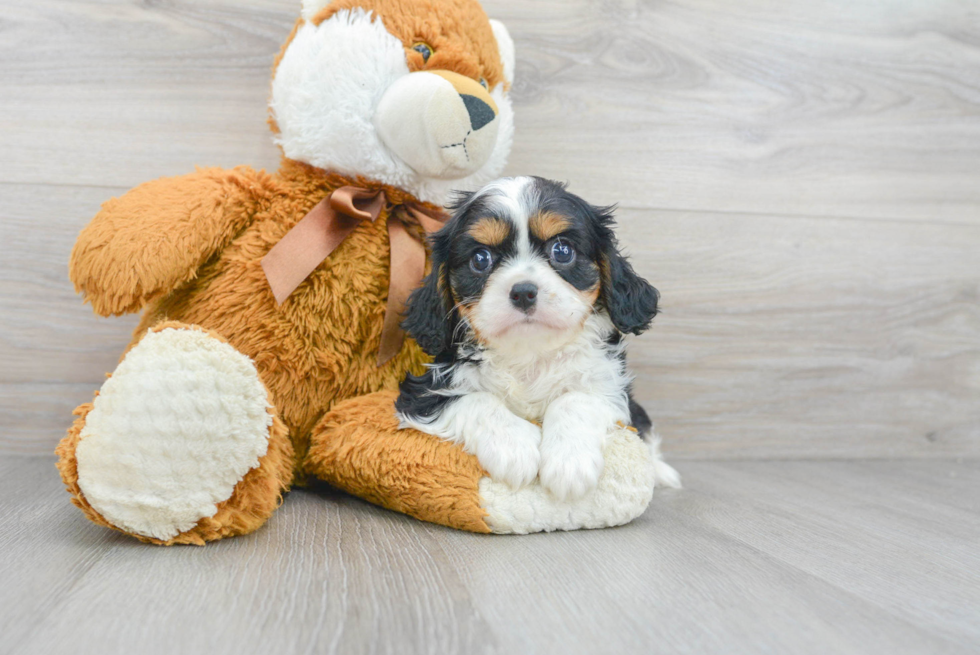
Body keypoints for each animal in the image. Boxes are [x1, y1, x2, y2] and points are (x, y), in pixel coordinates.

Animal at [394, 177, 676, 500]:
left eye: (562, 250)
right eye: (480, 259)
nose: (523, 292)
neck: (530, 352)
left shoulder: (608, 384)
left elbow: (576, 399)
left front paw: (570, 463)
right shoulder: (421, 392)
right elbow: (475, 400)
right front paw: (514, 448)